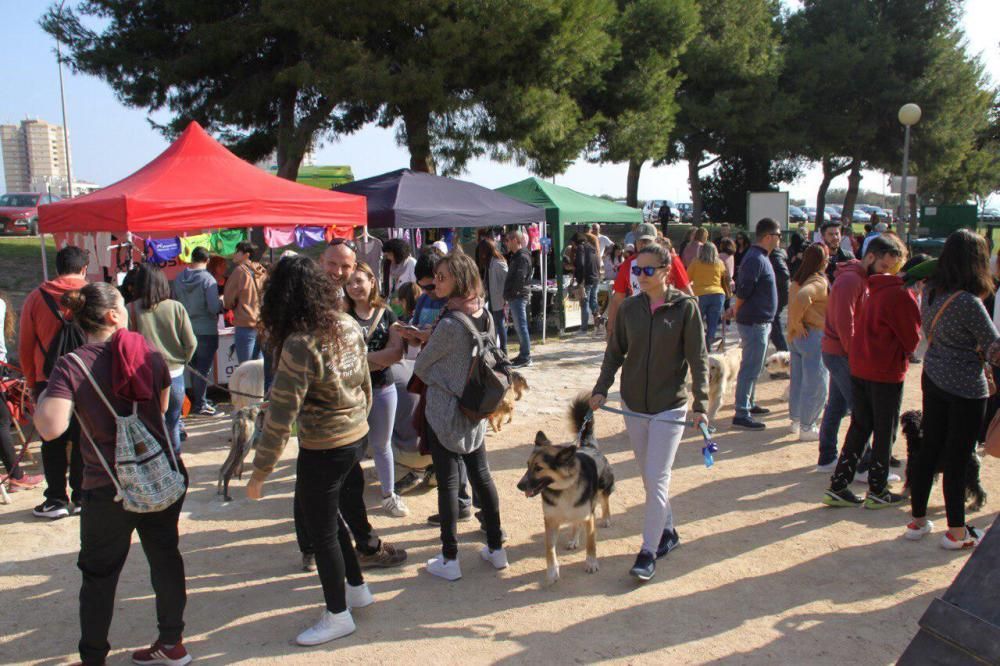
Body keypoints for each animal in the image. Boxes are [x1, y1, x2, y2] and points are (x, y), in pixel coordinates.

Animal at [520, 394, 612, 580]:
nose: (519, 485)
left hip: (602, 488)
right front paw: (552, 570)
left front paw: (591, 563)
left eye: (538, 468)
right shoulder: (550, 521)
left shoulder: (589, 516)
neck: (564, 488)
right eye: (527, 465)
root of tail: (588, 446)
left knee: (605, 501)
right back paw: (573, 539)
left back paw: (606, 518)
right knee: (576, 523)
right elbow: (549, 549)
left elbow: (591, 544)